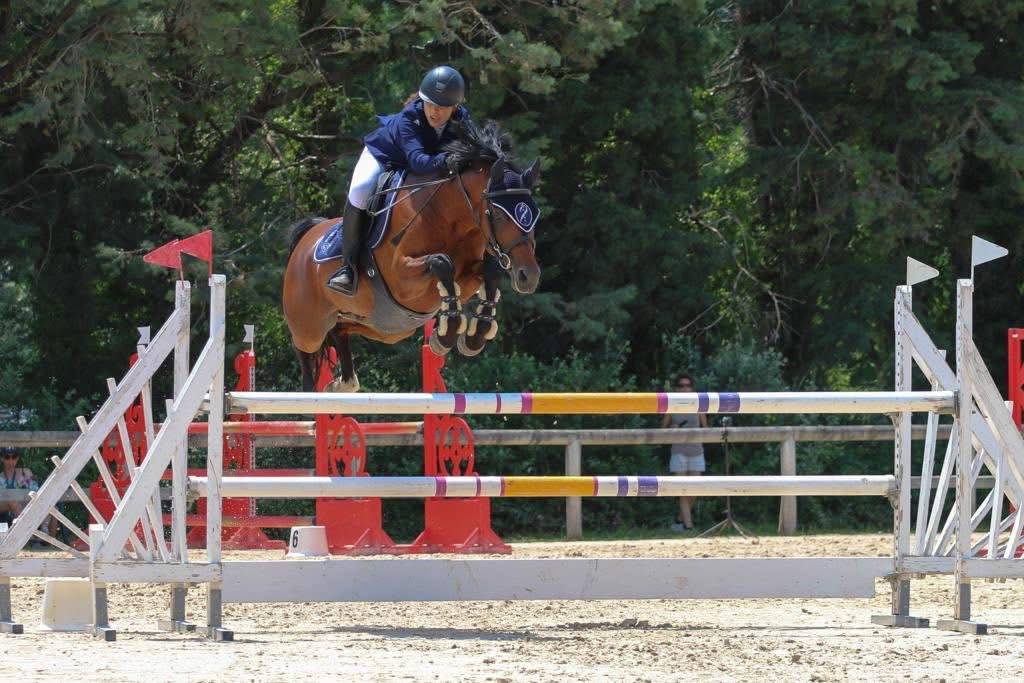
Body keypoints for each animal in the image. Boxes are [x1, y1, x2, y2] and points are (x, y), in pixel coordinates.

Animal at [282, 121, 542, 392]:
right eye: (499, 215)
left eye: (534, 214)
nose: (529, 276)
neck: (448, 214)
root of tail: (306, 238)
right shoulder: (401, 277)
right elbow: (442, 263)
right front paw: (446, 334)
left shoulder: (468, 274)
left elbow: (488, 272)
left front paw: (475, 335)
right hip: (309, 325)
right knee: (305, 349)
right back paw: (310, 391)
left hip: (382, 327)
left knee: (340, 330)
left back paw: (342, 384)